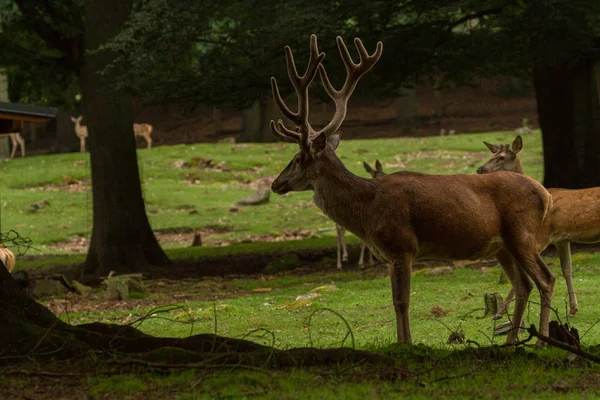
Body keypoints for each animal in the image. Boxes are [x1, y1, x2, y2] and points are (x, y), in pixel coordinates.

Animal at [270, 33, 556, 344]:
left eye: (298, 158)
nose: (275, 183)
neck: (366, 211)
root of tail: (545, 194)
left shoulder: (402, 245)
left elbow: (402, 301)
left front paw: (406, 343)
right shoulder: (388, 256)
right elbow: (395, 301)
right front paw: (400, 342)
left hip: (521, 232)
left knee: (545, 279)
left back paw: (541, 338)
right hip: (502, 246)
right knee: (524, 285)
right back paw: (510, 341)